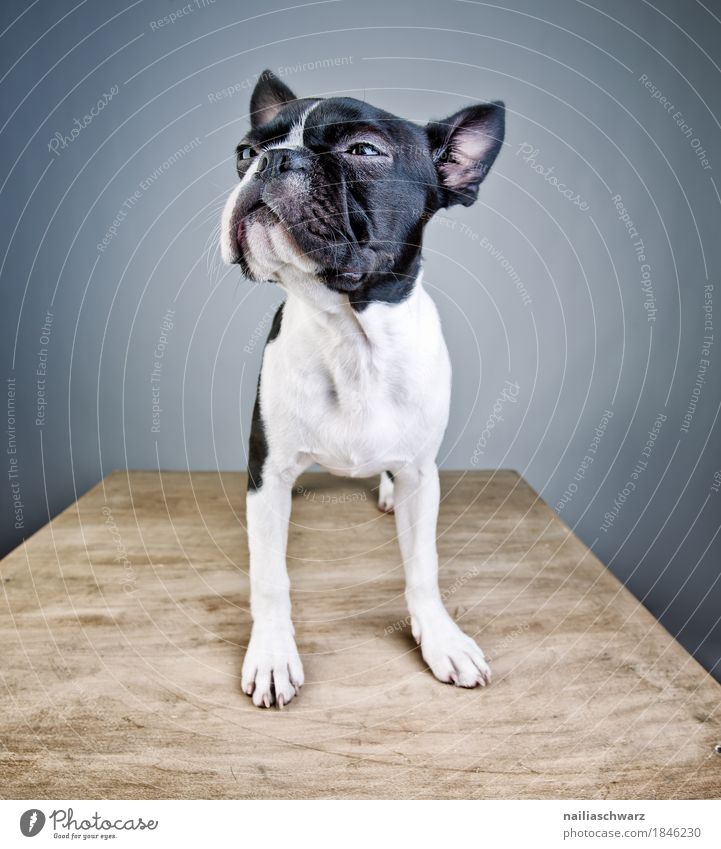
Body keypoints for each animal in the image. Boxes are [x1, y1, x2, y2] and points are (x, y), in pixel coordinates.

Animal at [217, 71, 504, 708]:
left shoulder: (422, 472)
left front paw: (440, 637)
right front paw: (272, 654)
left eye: (363, 151)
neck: (350, 335)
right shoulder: (266, 471)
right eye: (244, 153)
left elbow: (423, 567)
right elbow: (269, 576)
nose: (273, 160)